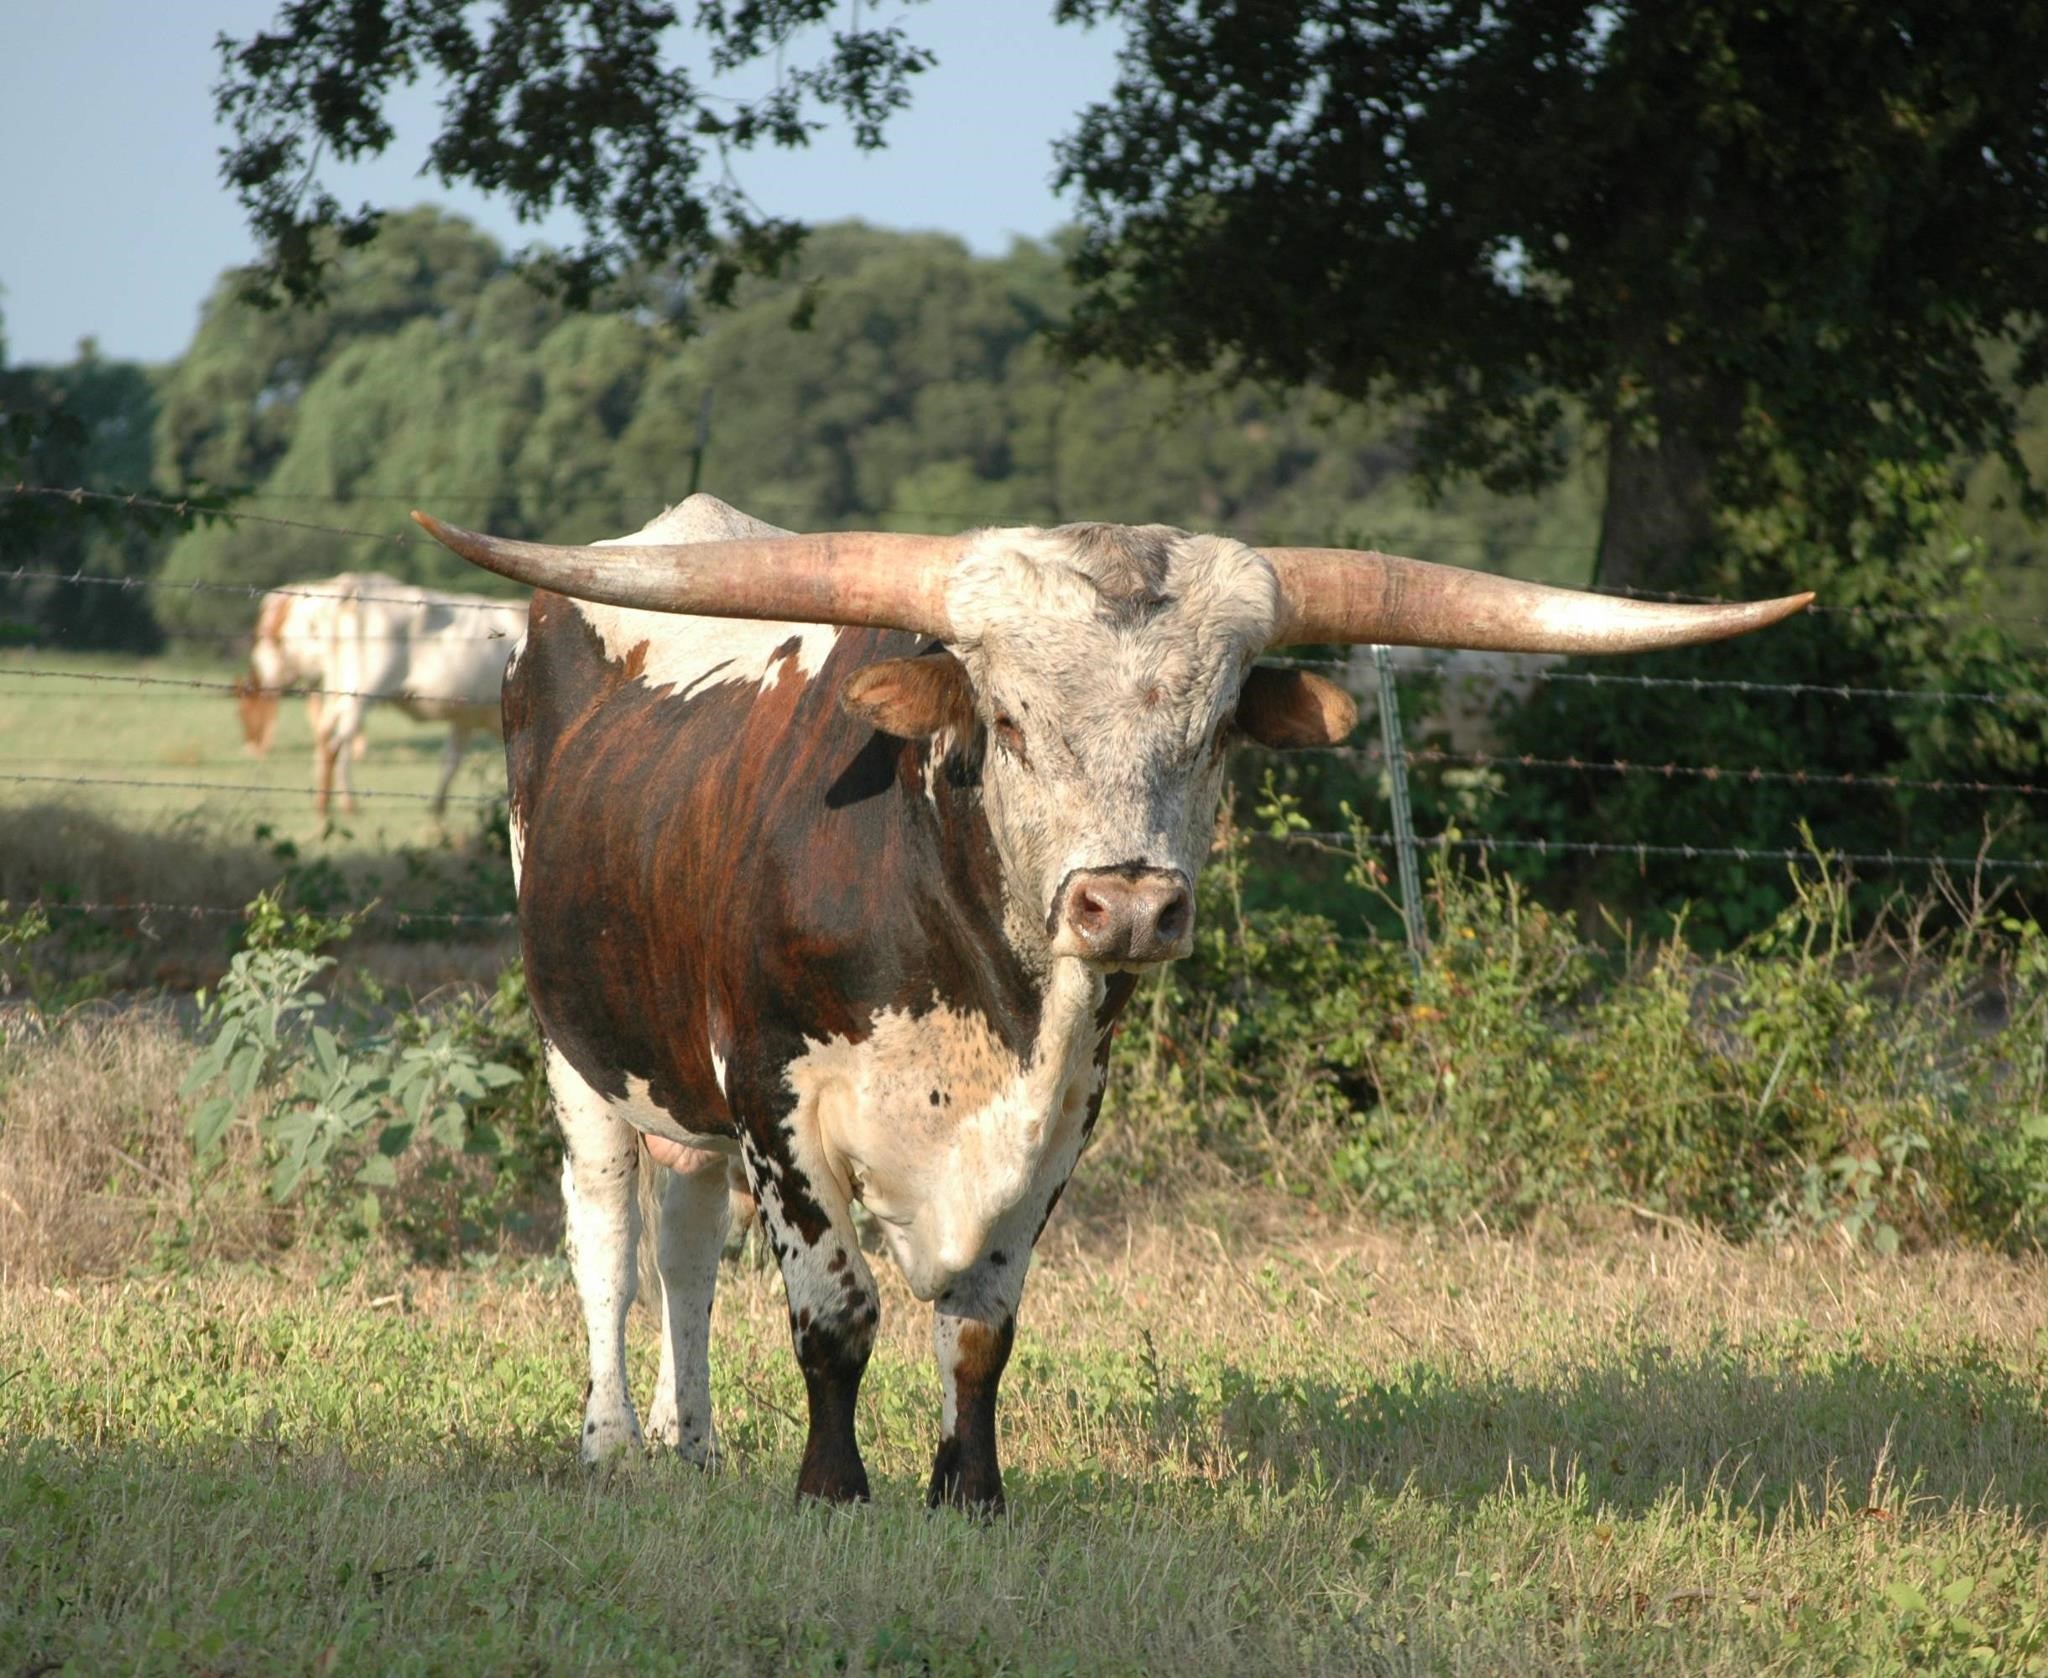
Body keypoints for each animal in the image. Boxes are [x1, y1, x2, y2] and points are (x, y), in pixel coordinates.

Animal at [236, 573, 526, 819]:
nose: (248, 744)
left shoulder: (464, 718)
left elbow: (450, 762)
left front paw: (437, 808)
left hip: (338, 687)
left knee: (324, 731)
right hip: (361, 692)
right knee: (336, 745)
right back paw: (342, 805)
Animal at [411, 494, 1809, 1510]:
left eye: (1217, 730)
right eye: (1010, 718)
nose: (1126, 906)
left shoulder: (1061, 1118)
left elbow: (979, 1329)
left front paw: (968, 1495)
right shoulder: (776, 1098)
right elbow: (836, 1314)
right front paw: (831, 1490)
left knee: (687, 1236)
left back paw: (689, 1439)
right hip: (580, 1051)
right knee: (610, 1234)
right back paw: (609, 1439)